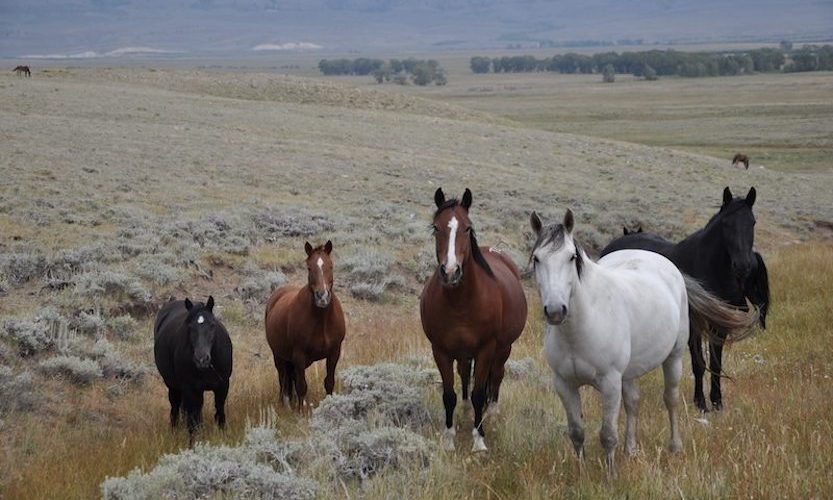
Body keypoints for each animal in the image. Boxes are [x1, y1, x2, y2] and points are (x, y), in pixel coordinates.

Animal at [266, 241, 344, 410]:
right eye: (309, 267)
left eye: (331, 266)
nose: (322, 296)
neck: (322, 320)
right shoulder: (299, 355)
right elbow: (302, 386)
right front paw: (301, 412)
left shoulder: (334, 352)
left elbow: (329, 382)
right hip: (279, 356)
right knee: (283, 379)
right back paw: (286, 404)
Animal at [420, 188, 528, 454]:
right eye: (436, 227)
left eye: (467, 228)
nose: (450, 272)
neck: (461, 302)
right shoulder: (440, 350)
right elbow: (449, 394)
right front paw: (449, 437)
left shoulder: (486, 348)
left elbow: (480, 392)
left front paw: (479, 440)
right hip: (463, 352)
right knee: (464, 376)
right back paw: (467, 410)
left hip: (503, 349)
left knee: (497, 376)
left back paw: (492, 414)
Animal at [528, 209, 756, 478]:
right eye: (537, 259)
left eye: (571, 257)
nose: (555, 311)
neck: (581, 327)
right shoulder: (564, 384)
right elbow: (576, 432)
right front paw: (582, 474)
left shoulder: (610, 382)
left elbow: (607, 435)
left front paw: (610, 477)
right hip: (630, 371)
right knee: (633, 403)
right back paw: (631, 450)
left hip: (674, 358)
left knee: (671, 399)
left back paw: (675, 446)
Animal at [600, 186, 772, 412]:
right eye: (726, 224)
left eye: (752, 222)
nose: (743, 266)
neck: (708, 267)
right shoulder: (693, 326)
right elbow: (699, 364)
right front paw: (700, 403)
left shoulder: (719, 325)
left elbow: (716, 363)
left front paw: (717, 402)